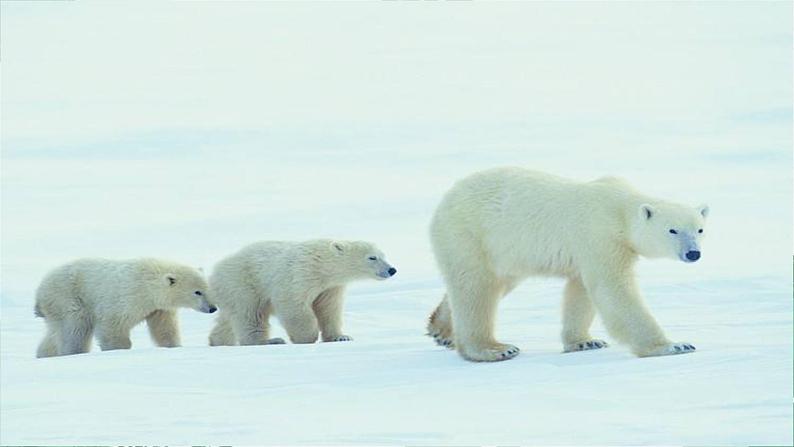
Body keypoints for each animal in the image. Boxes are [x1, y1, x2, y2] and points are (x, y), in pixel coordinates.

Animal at [35, 258, 215, 358]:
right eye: (197, 292)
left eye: (208, 289)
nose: (212, 308)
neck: (148, 283)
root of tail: (40, 291)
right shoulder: (126, 297)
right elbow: (112, 325)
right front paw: (118, 349)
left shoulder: (158, 308)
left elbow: (164, 328)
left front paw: (174, 346)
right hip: (68, 296)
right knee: (75, 327)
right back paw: (74, 351)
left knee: (55, 333)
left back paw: (44, 354)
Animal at [207, 240, 396, 348]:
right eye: (372, 257)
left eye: (383, 255)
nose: (391, 269)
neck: (321, 263)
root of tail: (215, 272)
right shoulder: (299, 275)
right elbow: (293, 305)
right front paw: (306, 337)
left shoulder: (330, 288)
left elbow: (329, 309)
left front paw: (341, 337)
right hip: (244, 283)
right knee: (251, 313)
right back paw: (269, 341)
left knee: (227, 319)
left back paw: (218, 341)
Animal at [424, 168, 708, 364]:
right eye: (672, 230)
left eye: (700, 229)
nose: (693, 253)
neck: (619, 208)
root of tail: (444, 201)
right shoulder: (600, 236)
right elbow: (613, 290)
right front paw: (674, 346)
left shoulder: (588, 251)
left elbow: (581, 291)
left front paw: (584, 342)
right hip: (470, 235)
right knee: (476, 289)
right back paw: (494, 348)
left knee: (493, 284)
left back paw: (441, 329)